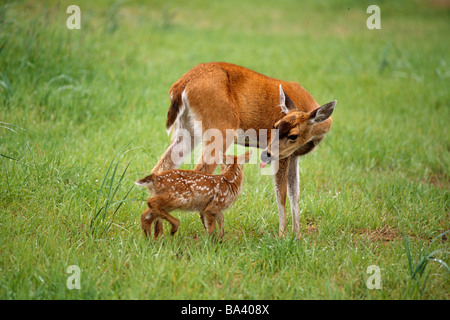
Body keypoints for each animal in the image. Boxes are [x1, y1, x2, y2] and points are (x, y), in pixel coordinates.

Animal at [153, 62, 336, 239]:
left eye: (293, 135)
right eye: (275, 126)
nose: (265, 154)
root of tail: (182, 83)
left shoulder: (294, 155)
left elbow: (295, 194)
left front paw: (297, 236)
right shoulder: (282, 155)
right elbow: (282, 194)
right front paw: (282, 236)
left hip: (186, 130)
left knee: (160, 169)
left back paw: (158, 233)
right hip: (220, 128)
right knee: (199, 172)